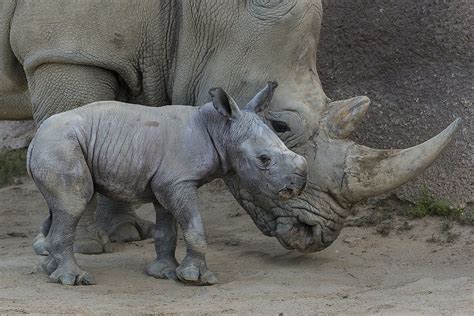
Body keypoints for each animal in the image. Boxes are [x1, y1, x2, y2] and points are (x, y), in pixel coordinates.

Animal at [0, 0, 460, 252]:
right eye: (279, 125)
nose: (318, 233)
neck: (197, 15)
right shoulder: (66, 53)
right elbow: (76, 126)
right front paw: (85, 248)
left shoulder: (131, 55)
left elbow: (117, 126)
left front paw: (128, 235)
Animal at [27, 81, 308, 286]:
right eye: (264, 159)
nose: (297, 187)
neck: (219, 128)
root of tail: (34, 140)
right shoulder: (177, 182)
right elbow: (194, 227)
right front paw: (197, 278)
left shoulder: (164, 183)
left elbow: (167, 231)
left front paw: (164, 273)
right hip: (60, 146)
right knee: (74, 203)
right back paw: (74, 279)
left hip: (56, 146)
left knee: (58, 206)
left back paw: (50, 270)